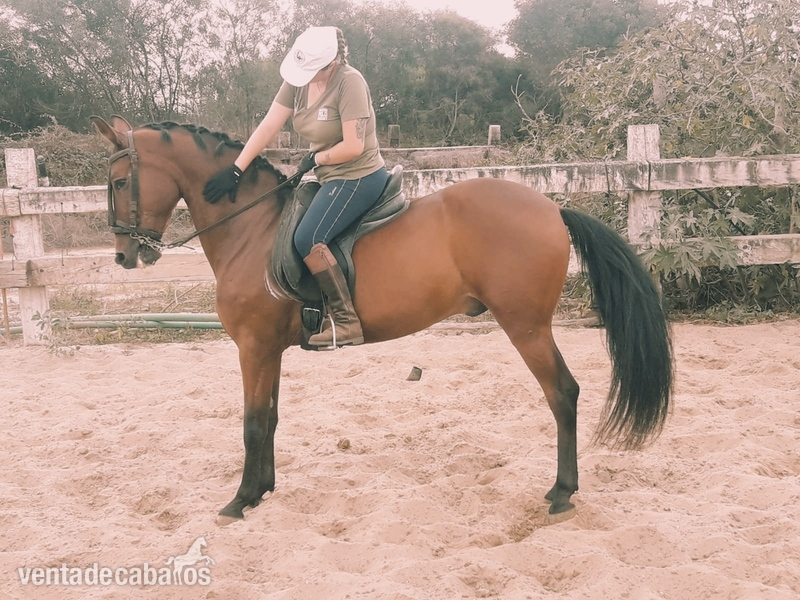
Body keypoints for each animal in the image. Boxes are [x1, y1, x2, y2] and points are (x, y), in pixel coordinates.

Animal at [91, 115, 673, 521]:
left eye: (118, 182)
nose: (124, 255)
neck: (251, 229)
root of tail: (553, 207)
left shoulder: (252, 346)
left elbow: (253, 424)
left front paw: (240, 500)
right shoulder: (268, 350)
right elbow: (271, 419)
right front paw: (263, 491)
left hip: (525, 326)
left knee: (563, 394)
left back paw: (561, 492)